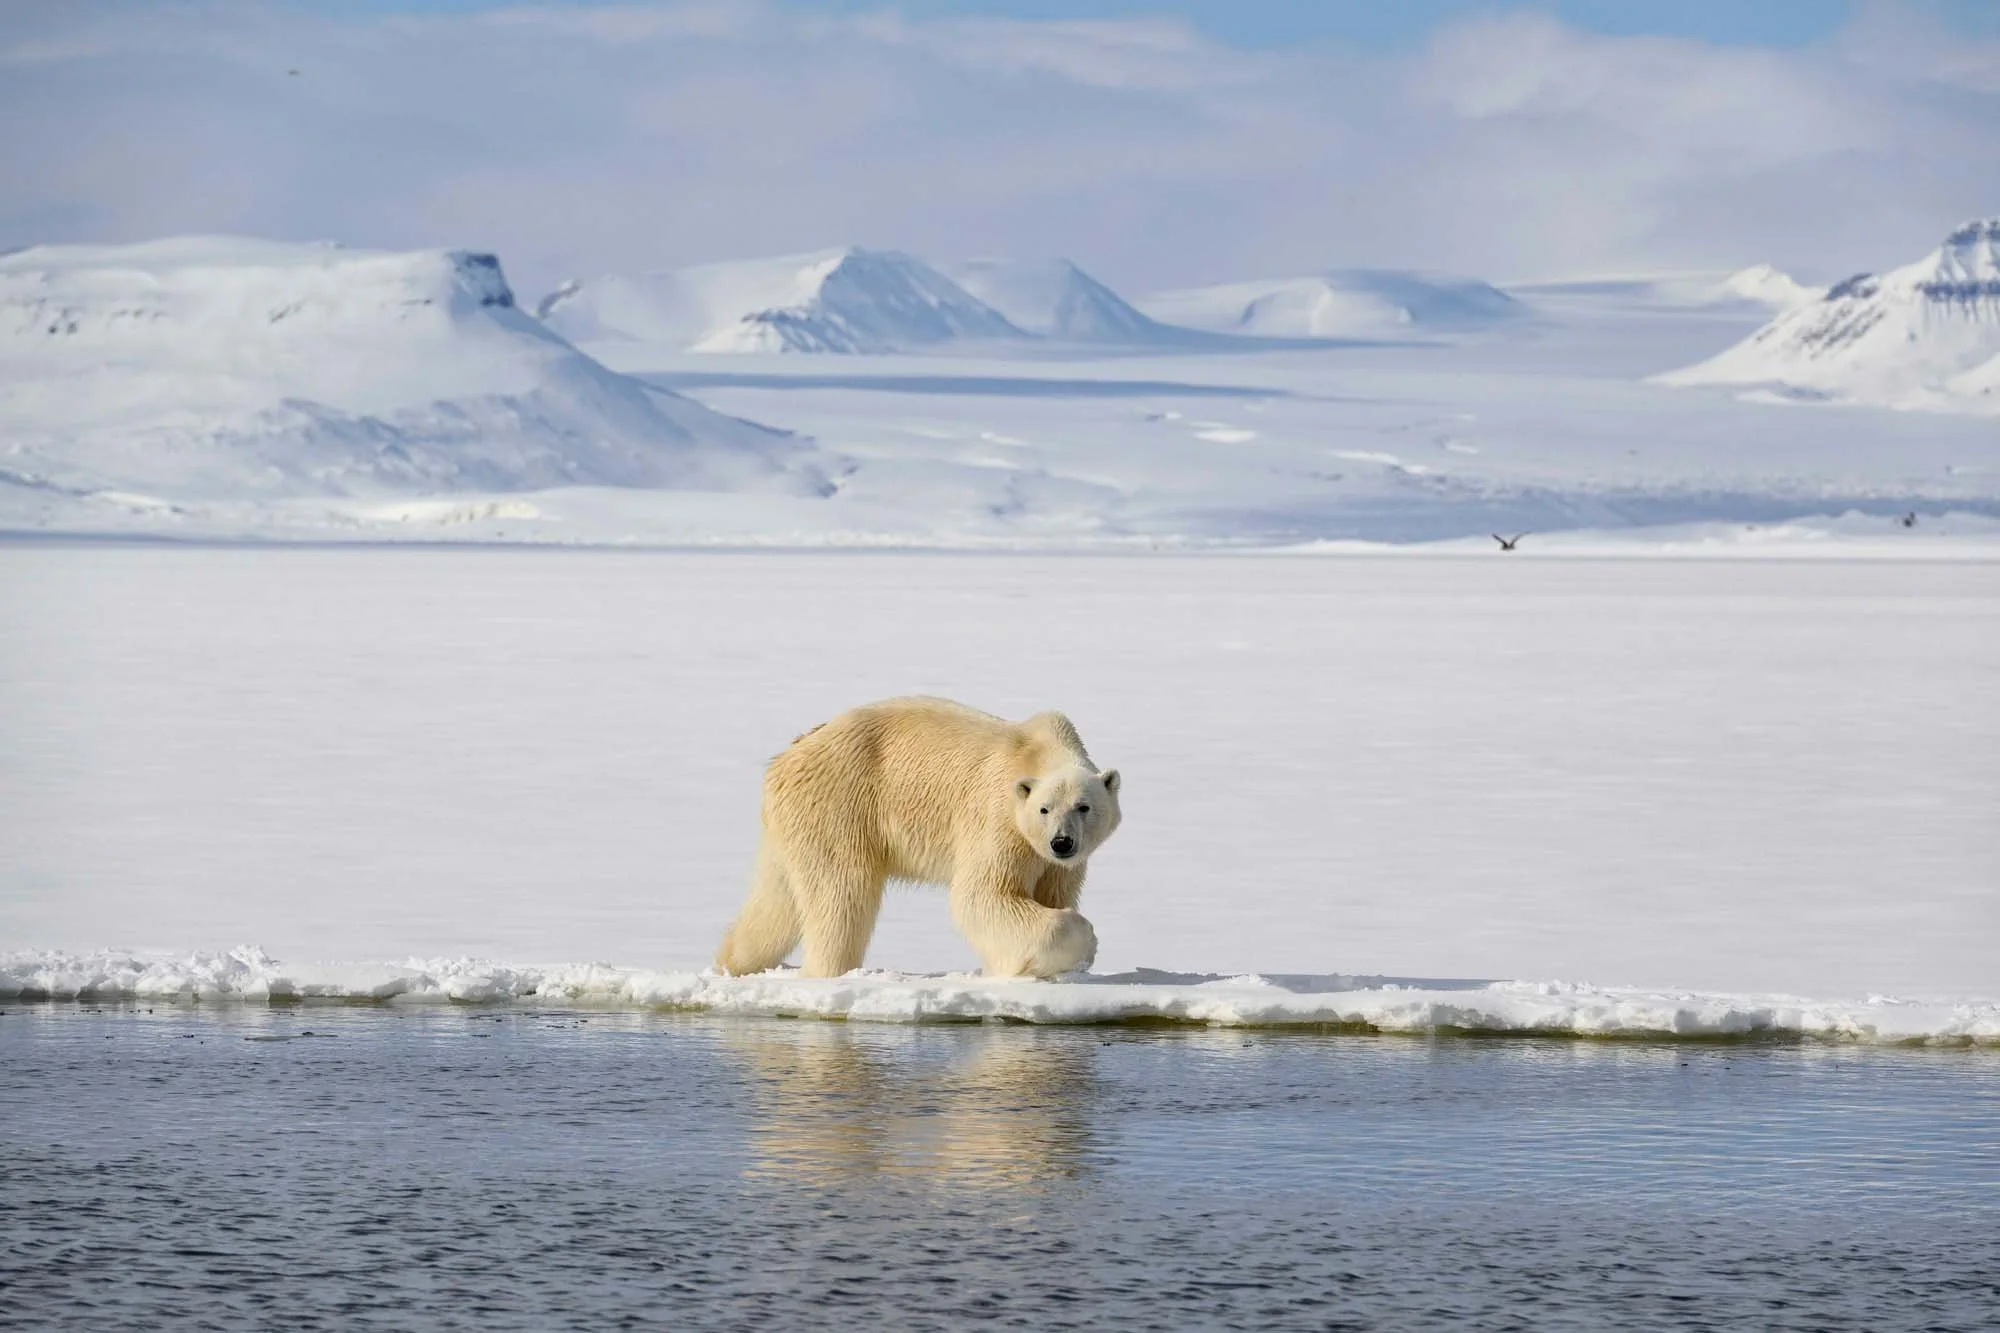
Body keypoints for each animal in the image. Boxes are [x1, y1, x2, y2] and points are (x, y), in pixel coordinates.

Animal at [715, 696, 1122, 980]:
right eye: (1044, 809)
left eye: (1083, 807)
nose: (1061, 842)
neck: (1041, 751)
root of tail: (787, 757)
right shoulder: (999, 820)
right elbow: (984, 895)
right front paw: (1082, 940)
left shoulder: (1059, 863)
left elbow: (1050, 894)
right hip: (839, 806)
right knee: (842, 896)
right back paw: (829, 971)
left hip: (794, 822)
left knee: (778, 898)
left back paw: (734, 962)